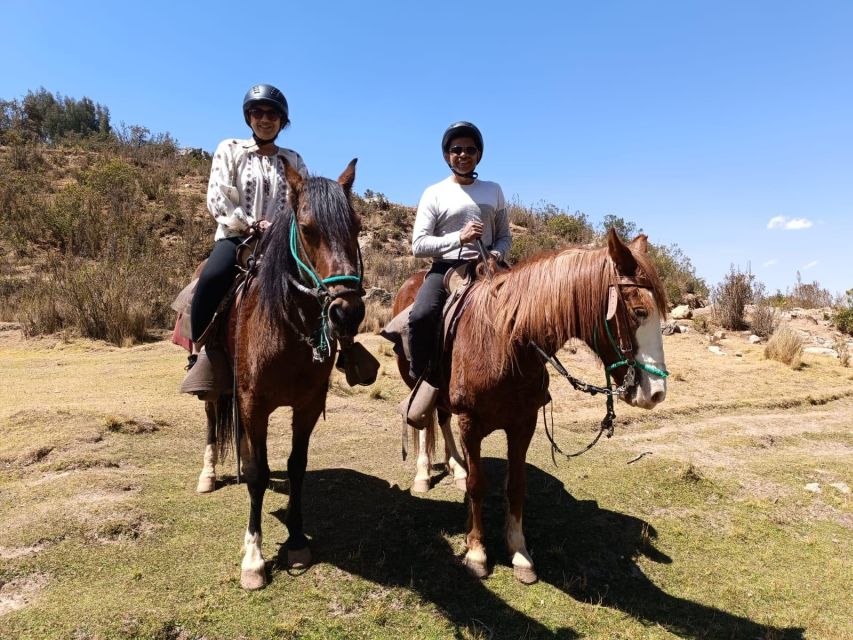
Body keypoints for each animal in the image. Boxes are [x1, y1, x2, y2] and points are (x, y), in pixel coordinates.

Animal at [197, 159, 366, 592]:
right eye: (306, 228)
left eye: (356, 226)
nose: (347, 313)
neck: (287, 330)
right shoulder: (254, 403)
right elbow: (259, 475)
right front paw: (254, 558)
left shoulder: (306, 407)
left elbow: (295, 467)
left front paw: (296, 540)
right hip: (213, 377)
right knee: (212, 419)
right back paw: (208, 475)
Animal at [392, 230, 664, 584]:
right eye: (639, 312)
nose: (656, 393)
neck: (504, 344)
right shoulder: (471, 423)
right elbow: (478, 486)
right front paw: (477, 552)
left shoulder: (524, 424)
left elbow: (516, 486)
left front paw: (519, 552)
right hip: (417, 381)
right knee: (425, 422)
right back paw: (424, 474)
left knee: (441, 419)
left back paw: (456, 466)